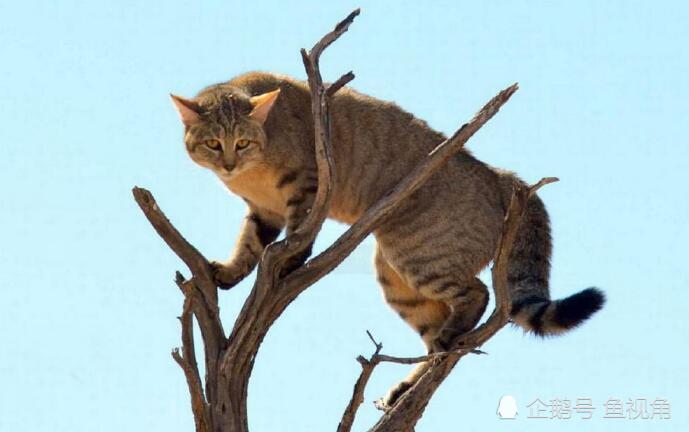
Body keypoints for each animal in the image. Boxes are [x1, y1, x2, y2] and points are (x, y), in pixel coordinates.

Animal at [169, 71, 604, 404]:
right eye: (213, 143)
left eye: (242, 142)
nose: (229, 163)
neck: (252, 173)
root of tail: (502, 176)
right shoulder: (264, 212)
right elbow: (250, 244)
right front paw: (228, 272)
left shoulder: (307, 188)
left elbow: (296, 237)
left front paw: (288, 263)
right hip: (399, 281)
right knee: (435, 343)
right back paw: (408, 386)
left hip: (417, 256)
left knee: (478, 293)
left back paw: (449, 336)